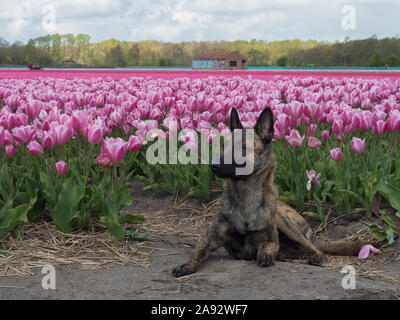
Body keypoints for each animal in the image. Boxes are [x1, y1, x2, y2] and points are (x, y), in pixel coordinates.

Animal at [173, 107, 370, 278]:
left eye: (243, 148)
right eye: (223, 146)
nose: (212, 165)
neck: (246, 197)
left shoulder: (271, 239)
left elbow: (267, 245)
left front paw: (265, 254)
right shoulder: (211, 238)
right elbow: (198, 251)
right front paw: (185, 264)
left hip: (286, 222)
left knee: (317, 249)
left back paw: (316, 256)